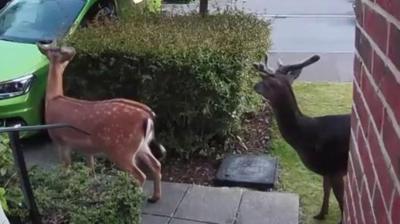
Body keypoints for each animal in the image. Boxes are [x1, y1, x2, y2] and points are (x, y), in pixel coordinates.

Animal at [38, 42, 166, 203]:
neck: (53, 100)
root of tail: (148, 117)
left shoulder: (60, 141)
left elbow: (66, 168)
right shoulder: (87, 149)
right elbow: (91, 171)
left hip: (120, 149)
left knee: (140, 175)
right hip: (141, 146)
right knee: (156, 165)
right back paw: (154, 197)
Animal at [253, 53, 350, 223]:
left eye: (265, 82)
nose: (254, 86)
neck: (306, 137)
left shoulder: (336, 168)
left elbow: (341, 200)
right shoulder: (326, 170)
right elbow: (326, 191)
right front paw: (320, 214)